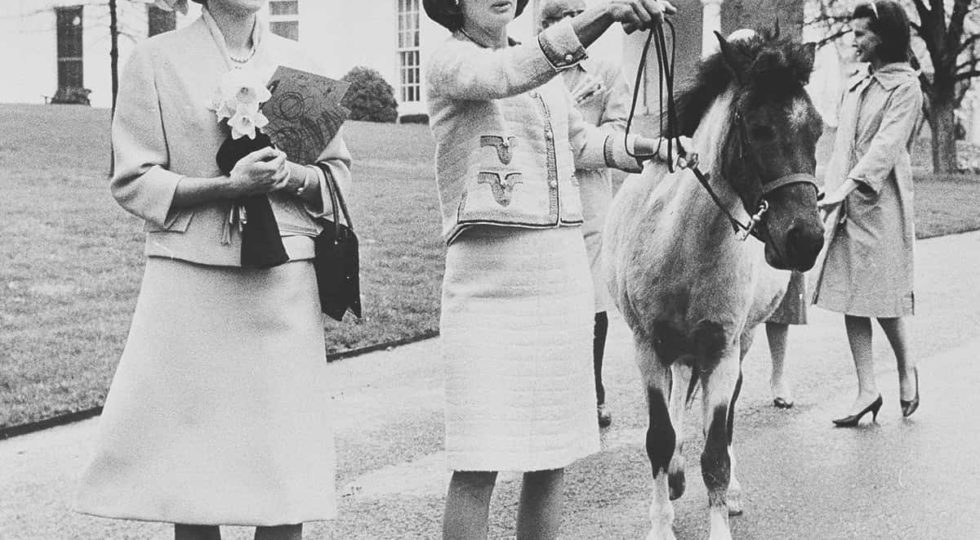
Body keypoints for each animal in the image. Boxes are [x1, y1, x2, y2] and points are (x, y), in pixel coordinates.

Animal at [604, 28, 828, 540]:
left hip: (739, 343)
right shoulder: (647, 348)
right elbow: (659, 438)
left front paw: (721, 509)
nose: (806, 240)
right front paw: (661, 520)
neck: (680, 247)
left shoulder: (722, 350)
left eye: (817, 130)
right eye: (760, 128)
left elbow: (716, 454)